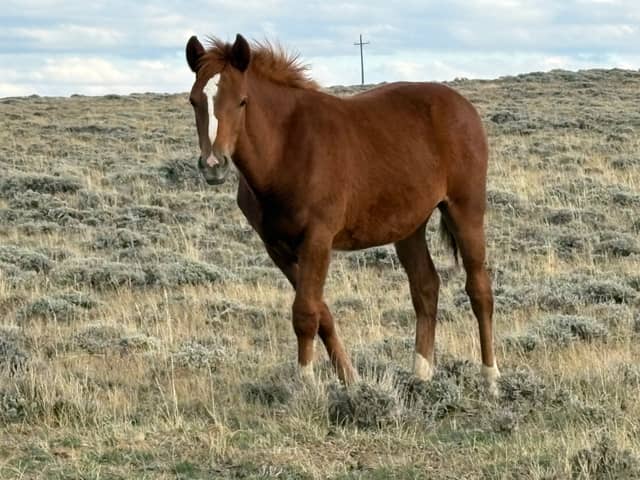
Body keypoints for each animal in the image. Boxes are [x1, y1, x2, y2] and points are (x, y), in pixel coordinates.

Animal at [185, 34, 500, 394]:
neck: (287, 149)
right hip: (410, 226)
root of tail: (463, 106)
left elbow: (305, 312)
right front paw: (350, 379)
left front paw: (306, 384)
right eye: (194, 101)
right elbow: (321, 312)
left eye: (242, 101)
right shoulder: (277, 247)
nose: (213, 164)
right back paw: (420, 375)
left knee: (479, 289)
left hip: (465, 210)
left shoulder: (317, 240)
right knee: (425, 287)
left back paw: (490, 378)